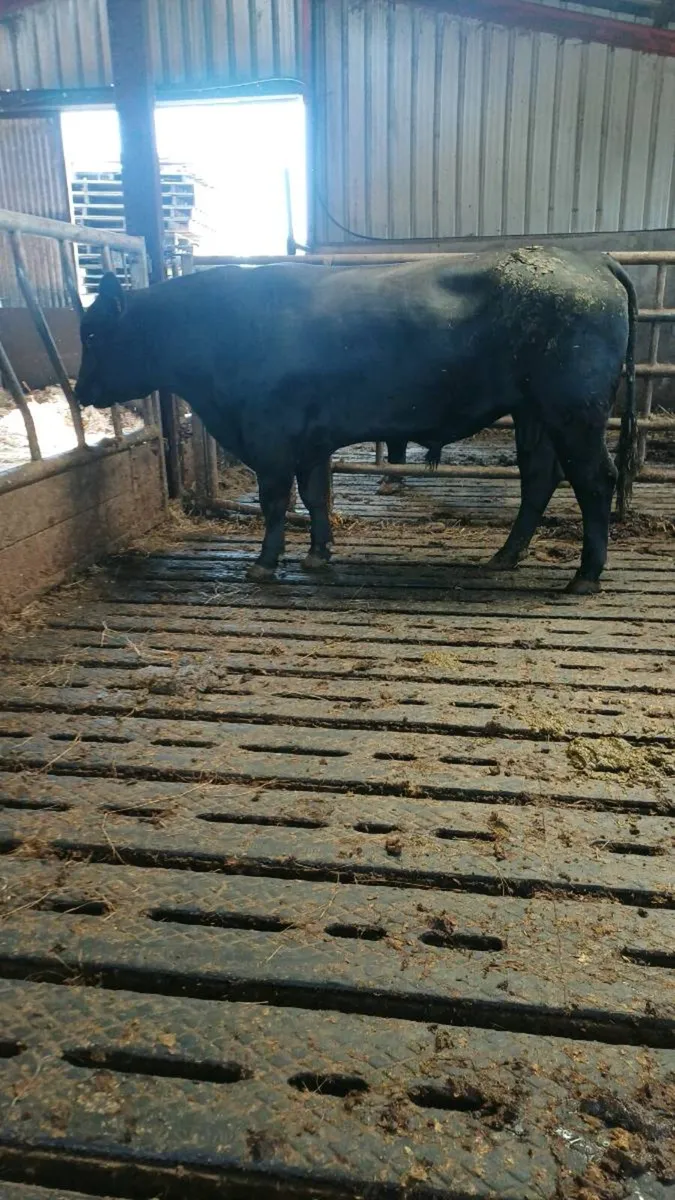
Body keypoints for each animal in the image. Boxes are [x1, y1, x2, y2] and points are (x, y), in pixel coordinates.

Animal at [74, 246, 637, 594]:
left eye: (94, 334)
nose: (80, 392)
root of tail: (590, 258)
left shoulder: (271, 437)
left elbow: (275, 501)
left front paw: (264, 564)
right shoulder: (310, 441)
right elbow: (315, 495)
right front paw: (318, 555)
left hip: (574, 412)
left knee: (594, 480)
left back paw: (586, 575)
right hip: (533, 414)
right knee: (539, 477)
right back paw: (505, 556)